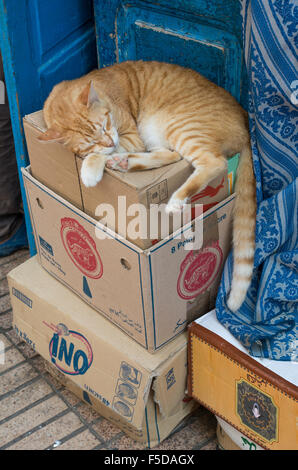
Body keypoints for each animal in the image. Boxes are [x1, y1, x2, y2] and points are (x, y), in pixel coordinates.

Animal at [39, 59, 256, 312]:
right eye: (90, 140)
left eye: (105, 124)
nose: (109, 142)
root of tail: (245, 122)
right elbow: (103, 151)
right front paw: (103, 157)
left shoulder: (131, 135)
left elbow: (105, 152)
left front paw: (90, 169)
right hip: (158, 133)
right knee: (171, 155)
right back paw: (125, 162)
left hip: (174, 126)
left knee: (213, 162)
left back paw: (174, 200)